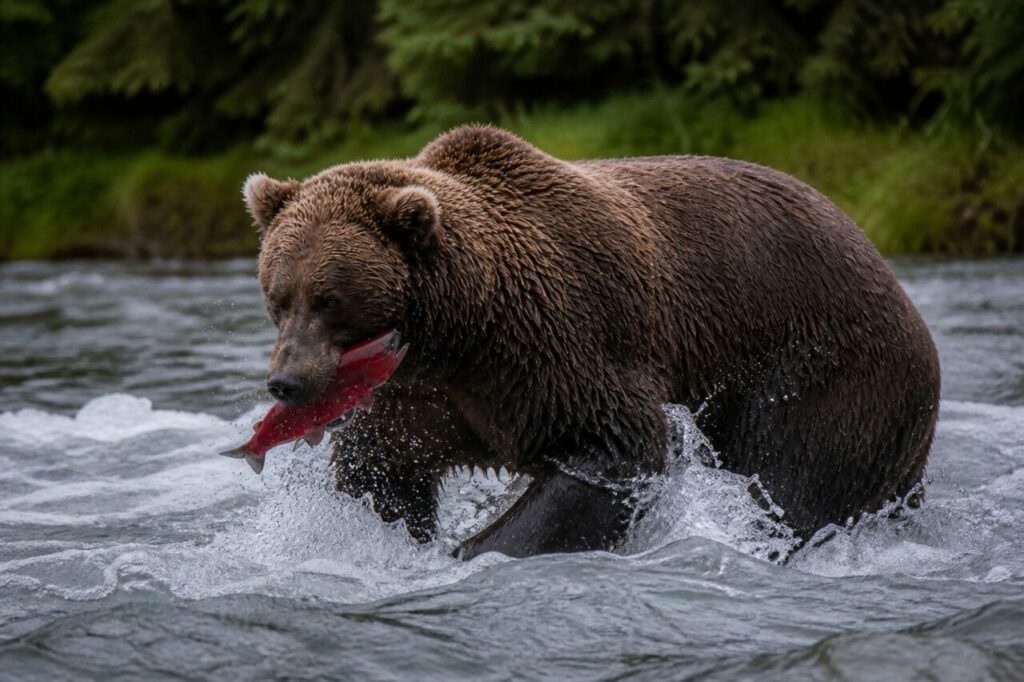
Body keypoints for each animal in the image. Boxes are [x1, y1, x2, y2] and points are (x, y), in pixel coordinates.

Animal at [243, 125, 940, 559]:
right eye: (277, 296)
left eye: (329, 299)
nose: (287, 382)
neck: (457, 329)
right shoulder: (424, 394)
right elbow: (380, 464)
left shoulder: (555, 342)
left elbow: (614, 448)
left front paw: (475, 548)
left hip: (819, 369)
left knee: (791, 482)